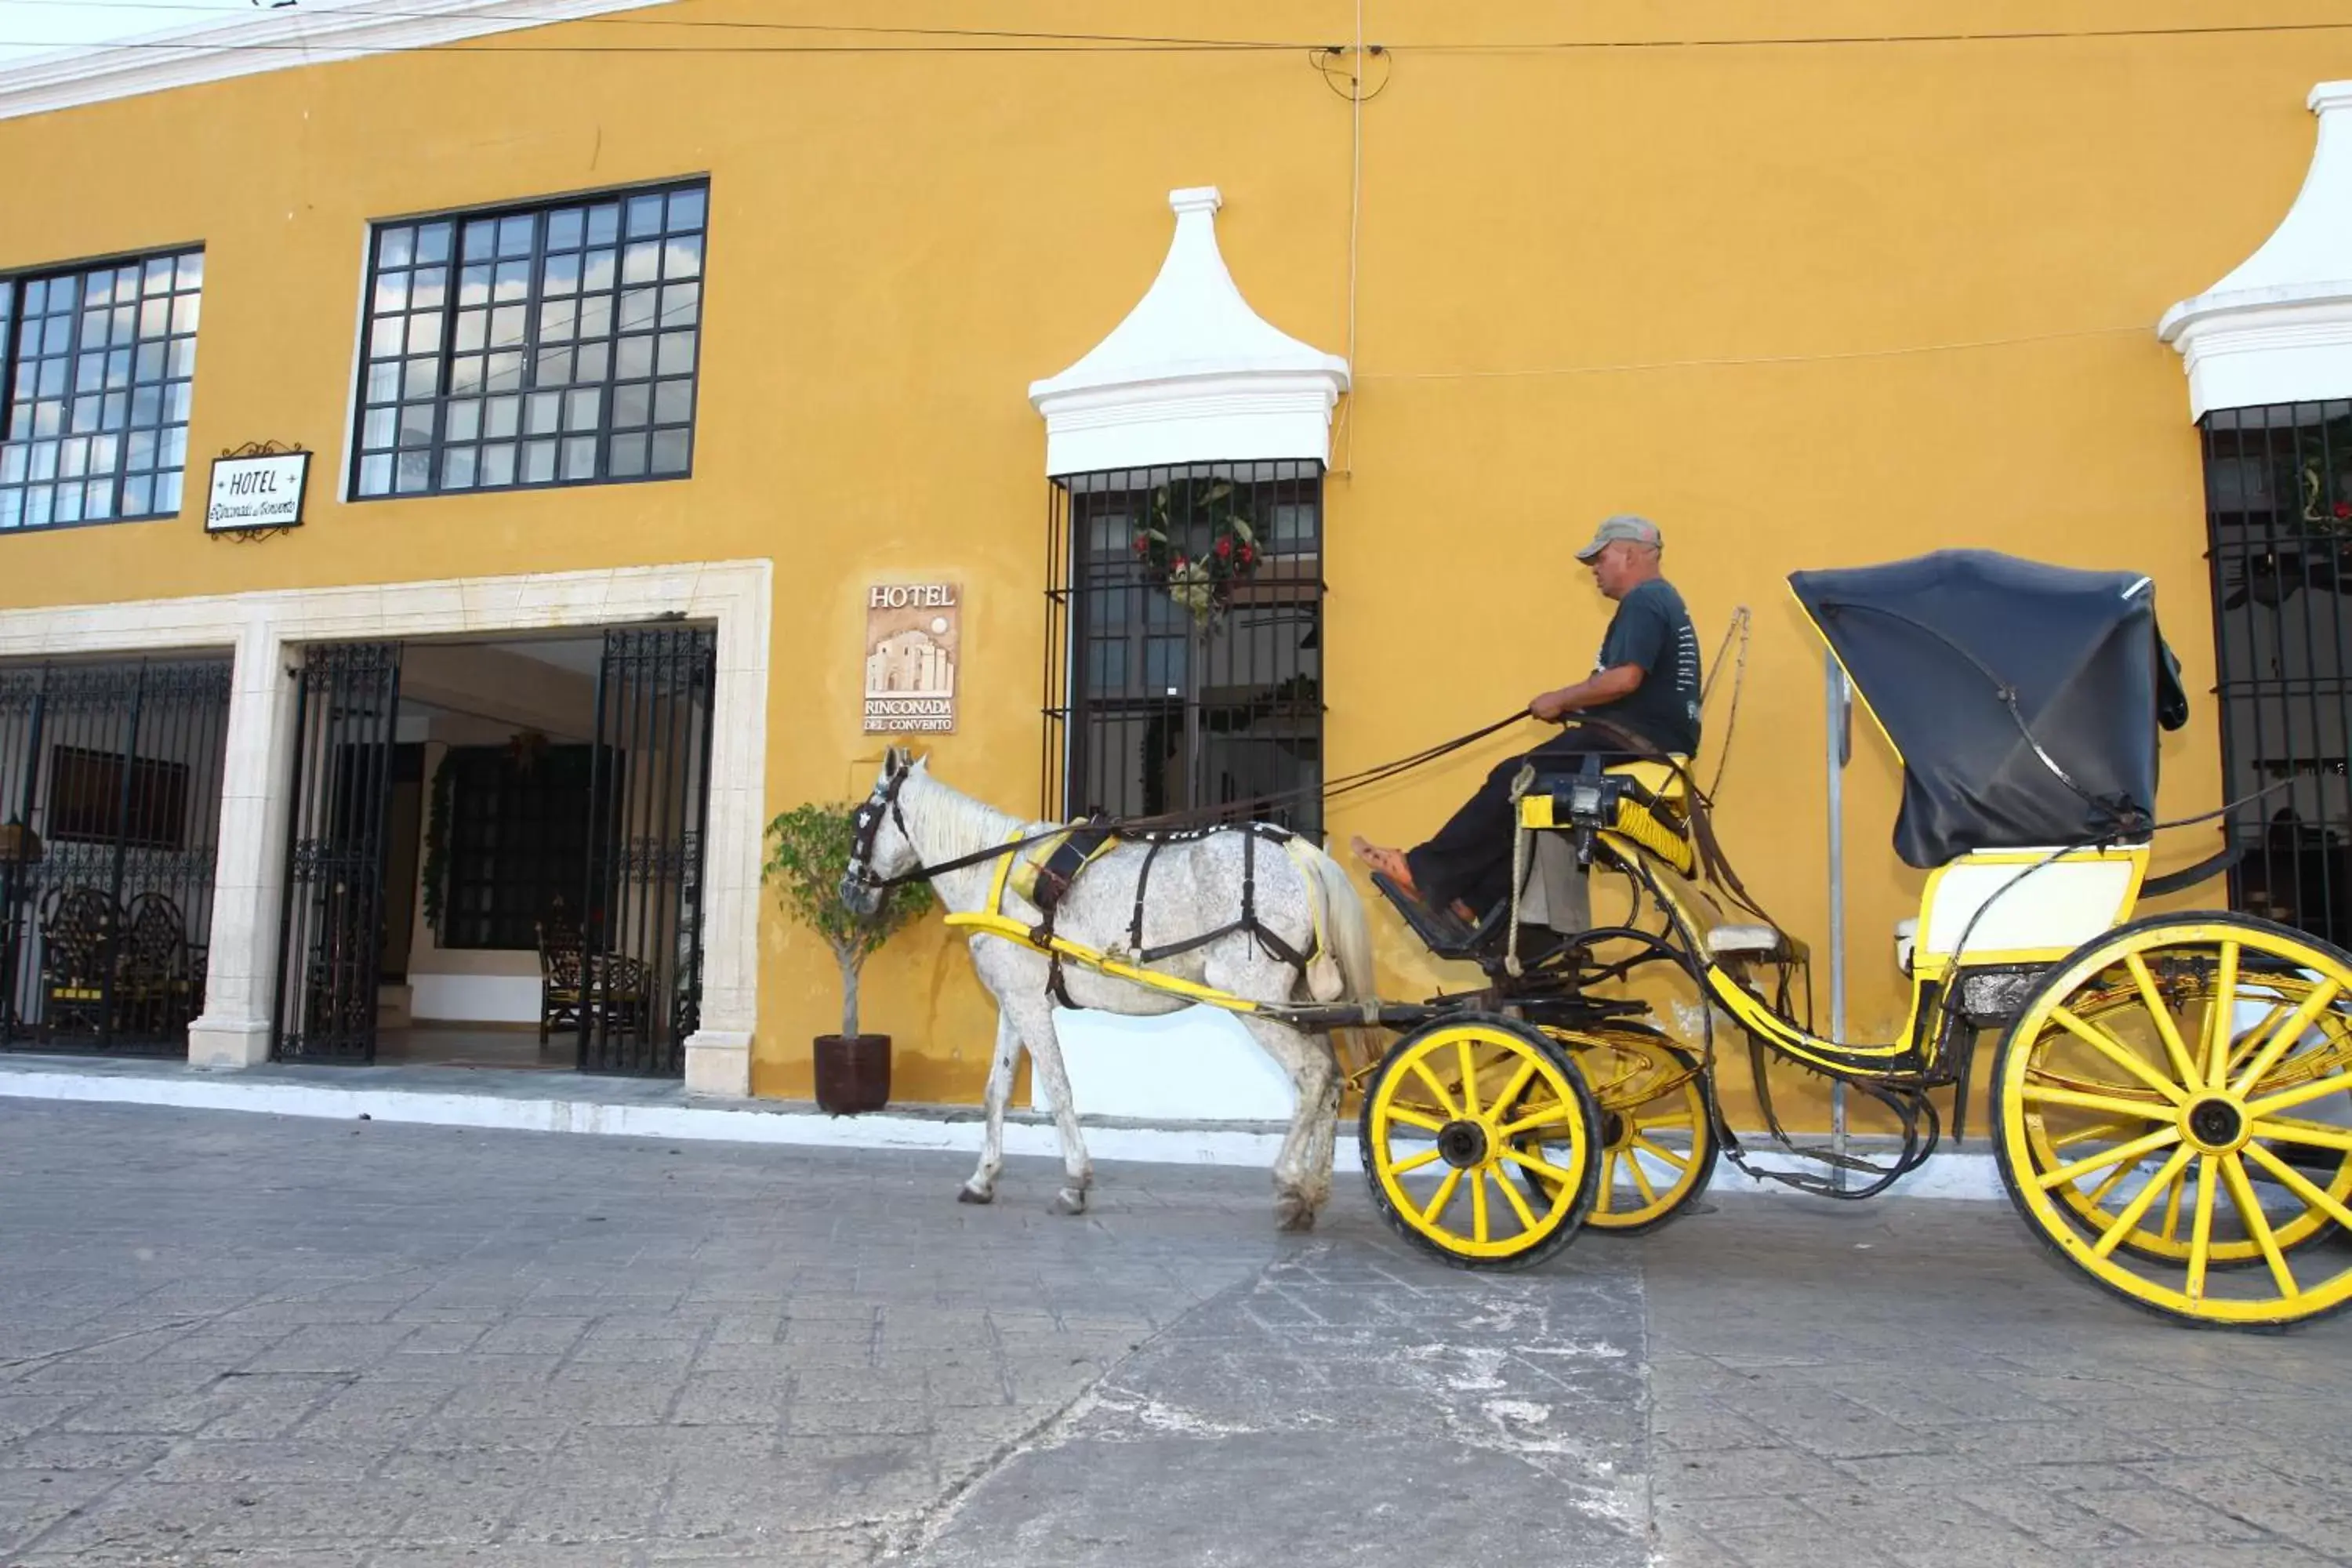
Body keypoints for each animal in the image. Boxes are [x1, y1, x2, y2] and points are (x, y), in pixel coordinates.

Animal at [847, 752, 1374, 1232]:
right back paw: (1314, 1190)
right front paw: (983, 1179)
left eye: (862, 818)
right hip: (1300, 1002)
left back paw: (1289, 1183)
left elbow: (1058, 1086)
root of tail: (1302, 854)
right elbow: (996, 1089)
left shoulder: (1029, 1004)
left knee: (1311, 1074)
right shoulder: (1015, 1001)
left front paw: (1074, 1183)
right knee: (1332, 1077)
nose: (850, 892)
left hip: (1253, 999)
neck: (993, 873)